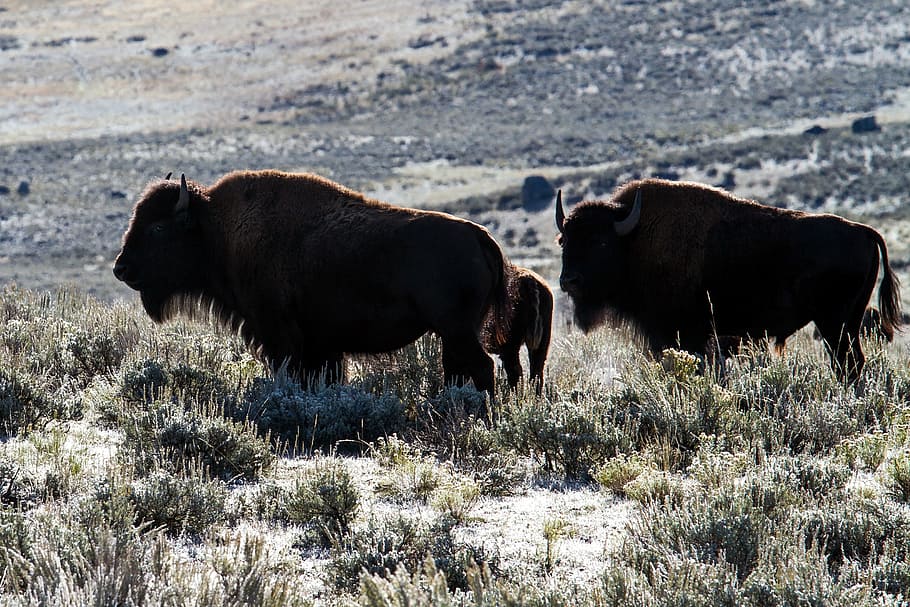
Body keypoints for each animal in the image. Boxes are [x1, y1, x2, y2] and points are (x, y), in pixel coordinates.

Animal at [114, 170, 512, 394]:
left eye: (158, 228)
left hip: (457, 330)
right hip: (453, 335)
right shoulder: (322, 346)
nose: (121, 268)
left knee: (482, 368)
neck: (216, 231)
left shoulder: (280, 335)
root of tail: (479, 236)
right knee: (459, 372)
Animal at [560, 178, 900, 382]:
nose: (568, 281)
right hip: (848, 322)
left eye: (601, 242)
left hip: (834, 323)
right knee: (852, 363)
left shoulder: (687, 335)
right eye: (564, 241)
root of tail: (865, 231)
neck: (634, 240)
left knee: (847, 363)